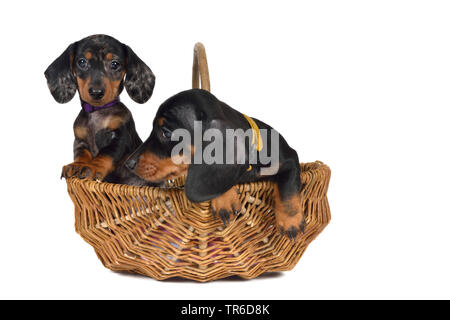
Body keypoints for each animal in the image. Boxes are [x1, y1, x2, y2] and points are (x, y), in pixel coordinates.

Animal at [44, 34, 156, 185]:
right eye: (82, 62)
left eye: (115, 64)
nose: (96, 92)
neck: (97, 111)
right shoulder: (80, 141)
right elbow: (81, 154)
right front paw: (77, 166)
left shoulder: (120, 138)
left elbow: (105, 154)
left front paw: (93, 167)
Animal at [123, 89, 306, 240]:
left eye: (166, 132)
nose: (128, 164)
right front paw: (225, 200)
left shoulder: (290, 159)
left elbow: (287, 187)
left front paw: (291, 223)